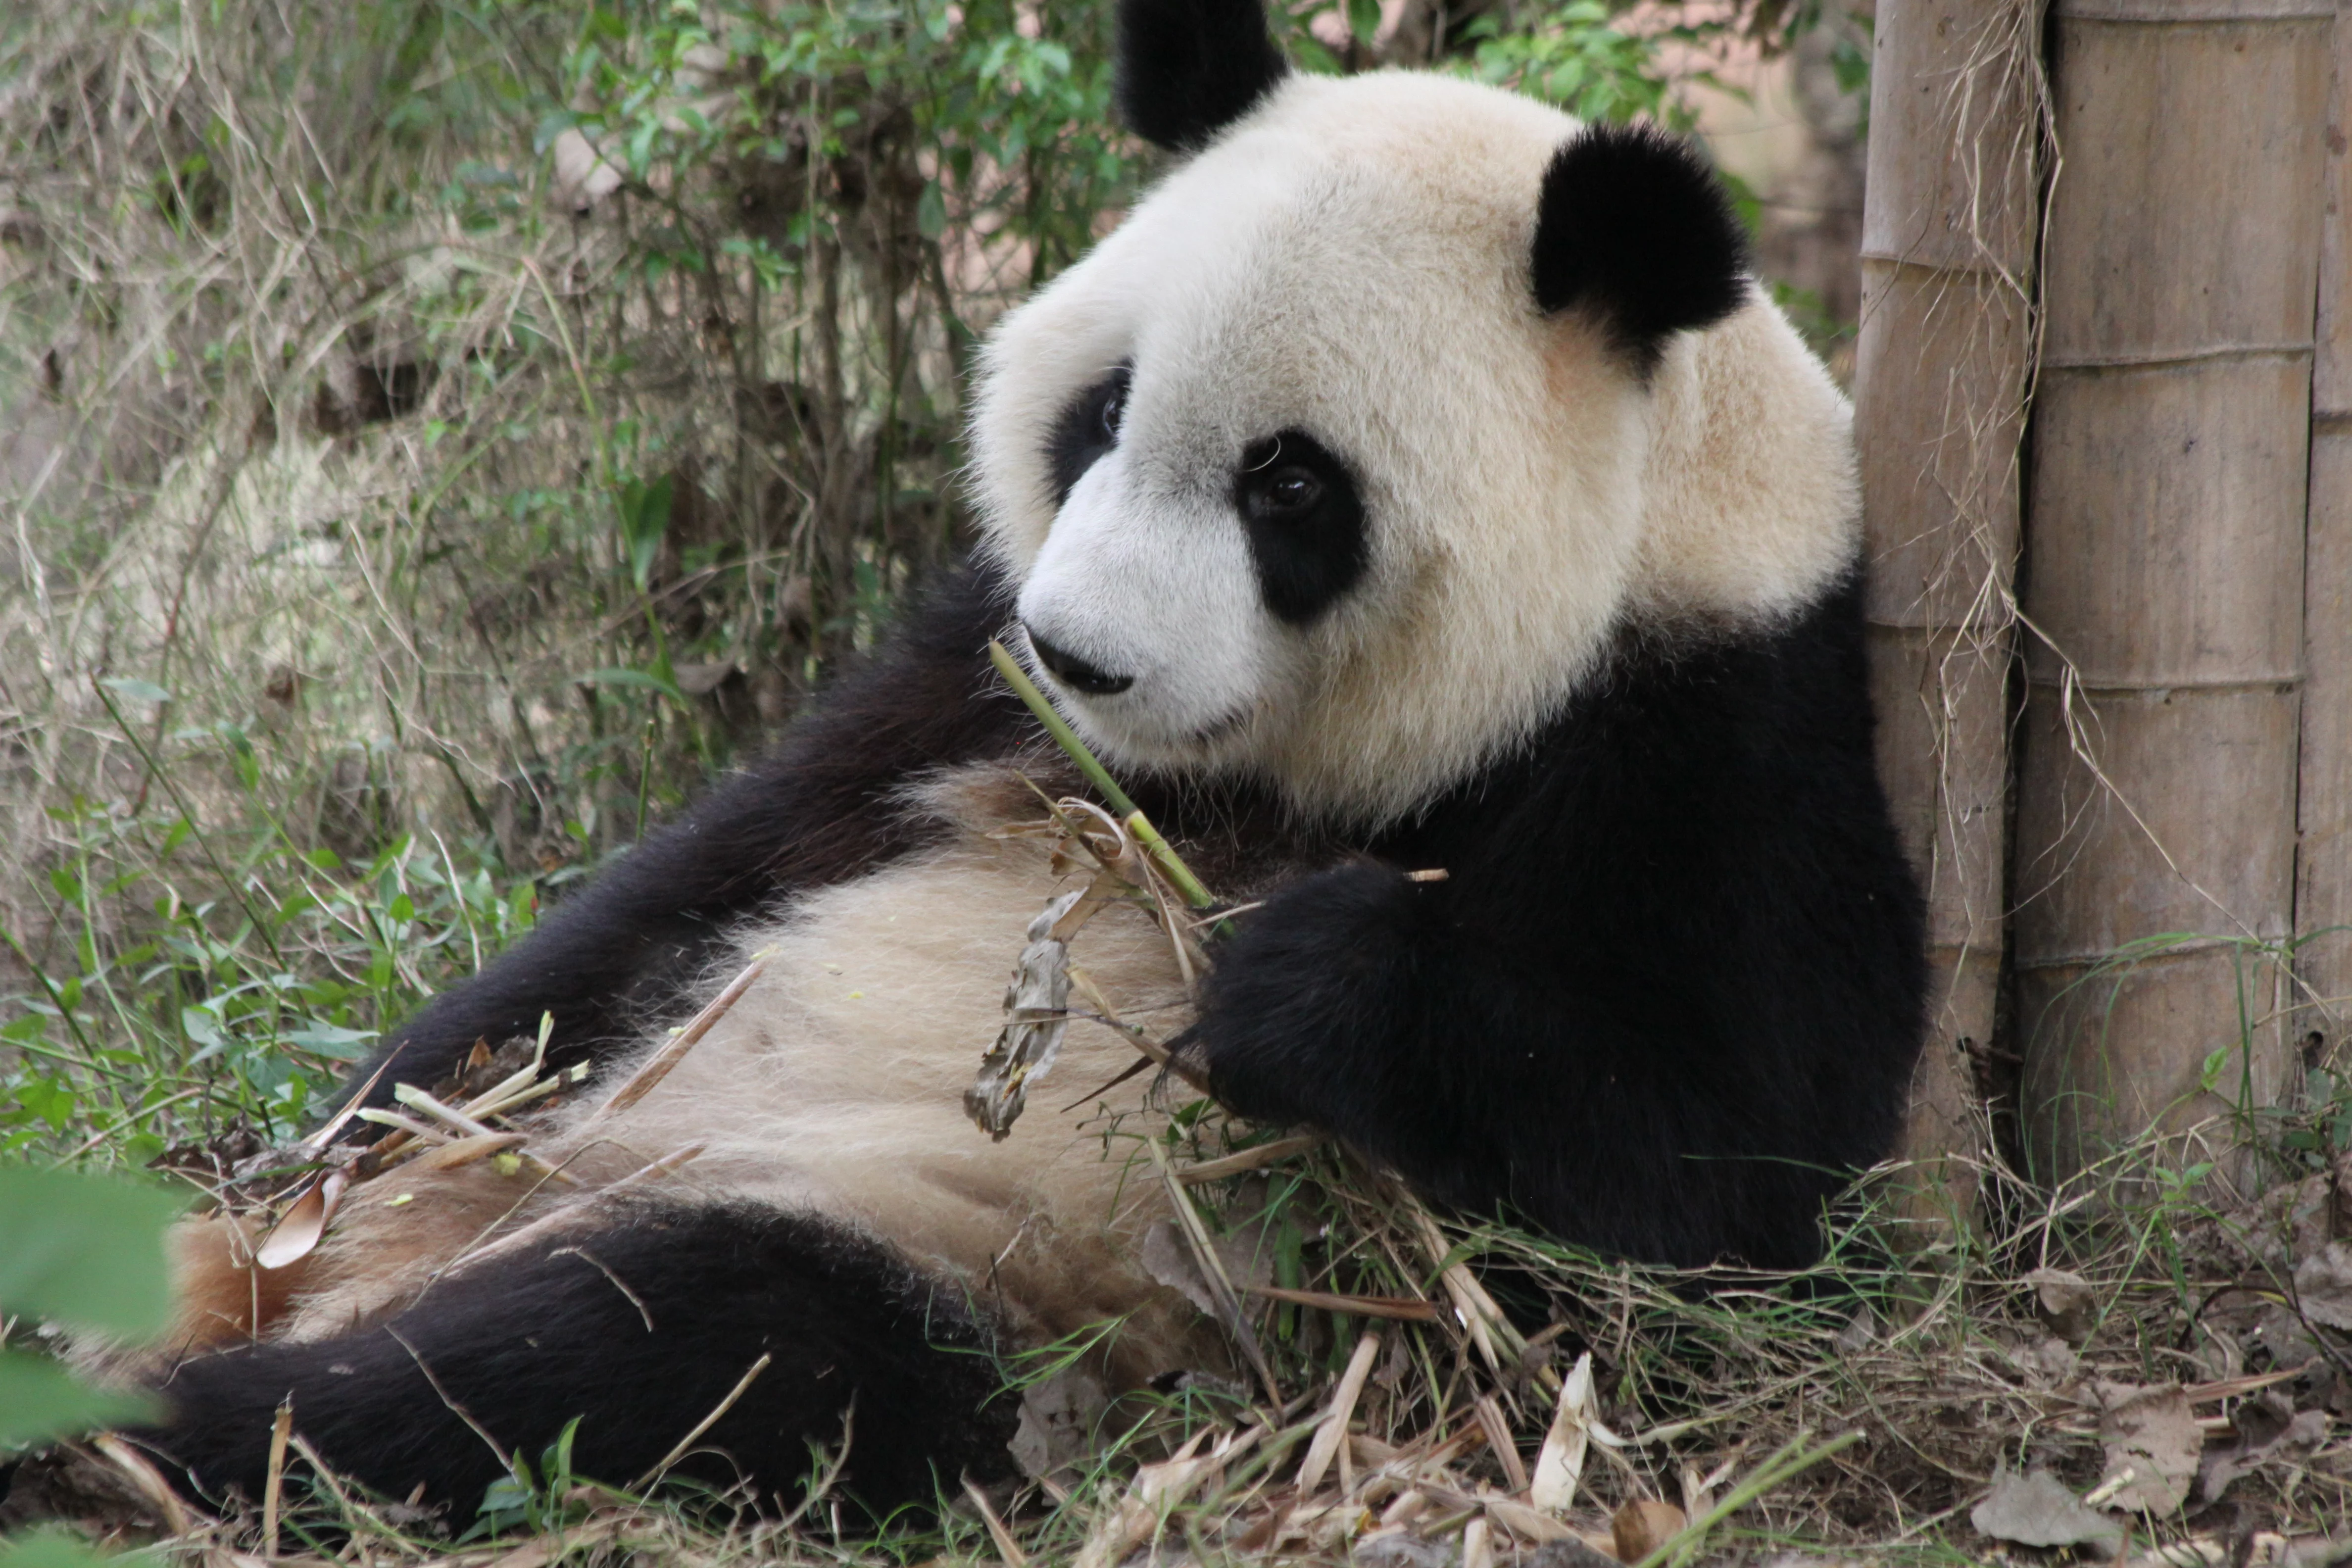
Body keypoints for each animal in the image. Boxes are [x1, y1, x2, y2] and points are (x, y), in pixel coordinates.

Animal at [131, 0, 1926, 1519]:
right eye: (1103, 411)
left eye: (1290, 485)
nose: (1084, 655)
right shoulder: (961, 678)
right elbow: (678, 890)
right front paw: (355, 1101)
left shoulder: (1725, 730)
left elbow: (1720, 1187)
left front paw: (1298, 978)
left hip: (950, 1258)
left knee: (667, 1348)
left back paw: (187, 1428)